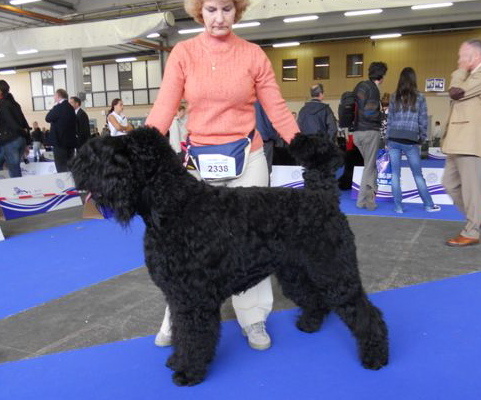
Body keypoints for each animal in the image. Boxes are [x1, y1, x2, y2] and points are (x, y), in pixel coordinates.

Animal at [69, 127, 388, 384]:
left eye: (119, 152)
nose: (77, 162)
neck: (173, 204)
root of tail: (323, 197)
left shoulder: (192, 298)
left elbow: (193, 335)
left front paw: (188, 371)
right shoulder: (177, 295)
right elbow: (179, 331)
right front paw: (176, 359)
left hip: (335, 272)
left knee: (365, 313)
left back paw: (376, 356)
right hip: (296, 272)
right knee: (315, 299)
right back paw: (309, 324)